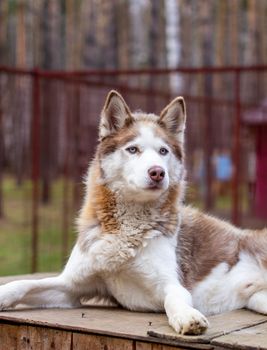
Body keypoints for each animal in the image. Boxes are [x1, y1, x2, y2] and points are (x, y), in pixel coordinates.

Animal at [0, 91, 267, 336]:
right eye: (133, 149)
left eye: (163, 151)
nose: (157, 172)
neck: (129, 227)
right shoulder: (70, 288)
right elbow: (25, 283)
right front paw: (4, 294)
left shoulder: (170, 283)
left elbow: (175, 298)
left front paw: (187, 316)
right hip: (257, 299)